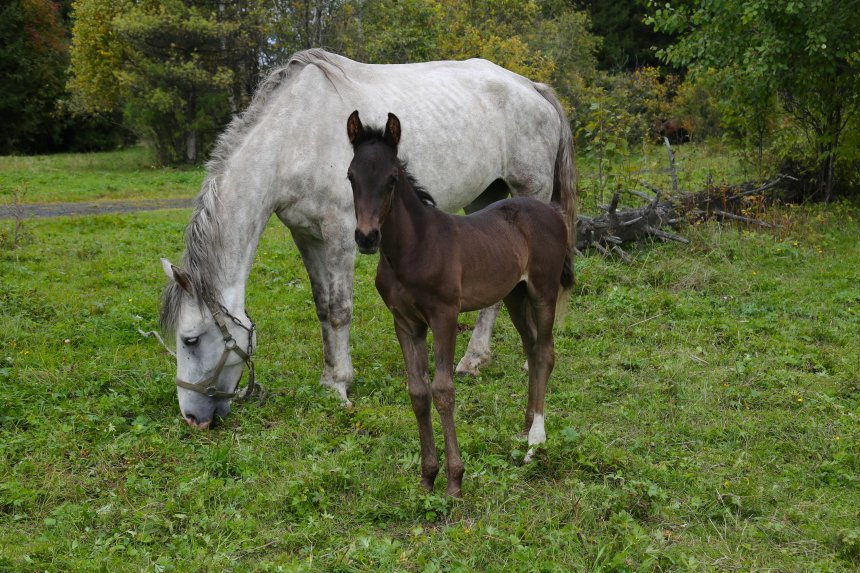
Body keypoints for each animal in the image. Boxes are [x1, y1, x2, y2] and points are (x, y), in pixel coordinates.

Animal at [159, 49, 575, 429]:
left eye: (190, 339)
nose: (191, 417)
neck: (295, 135)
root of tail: (532, 88)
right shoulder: (306, 236)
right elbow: (322, 307)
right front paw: (329, 379)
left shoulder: (342, 235)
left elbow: (340, 310)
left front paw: (340, 385)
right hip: (485, 199)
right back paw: (476, 360)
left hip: (529, 196)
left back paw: (507, 359)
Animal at [347, 111, 574, 497]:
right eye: (350, 176)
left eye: (392, 179)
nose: (366, 238)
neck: (413, 248)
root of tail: (552, 214)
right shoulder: (405, 321)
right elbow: (418, 392)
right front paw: (427, 477)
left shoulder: (444, 316)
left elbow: (443, 390)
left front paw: (454, 480)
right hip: (514, 295)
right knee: (531, 347)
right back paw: (523, 430)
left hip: (542, 291)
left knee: (545, 352)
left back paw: (536, 441)